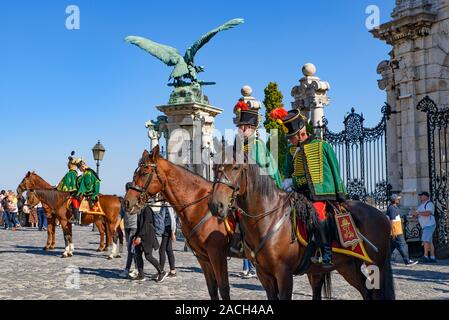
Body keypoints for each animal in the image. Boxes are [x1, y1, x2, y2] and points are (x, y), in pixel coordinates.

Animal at [123, 147, 233, 300]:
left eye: (144, 173)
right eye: (135, 174)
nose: (127, 202)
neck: (199, 204)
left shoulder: (217, 254)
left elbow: (224, 289)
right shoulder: (203, 257)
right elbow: (212, 289)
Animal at [208, 162, 394, 300]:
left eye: (236, 167)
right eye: (214, 168)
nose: (216, 205)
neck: (267, 218)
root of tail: (383, 217)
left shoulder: (284, 274)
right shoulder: (264, 275)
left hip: (374, 265)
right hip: (348, 266)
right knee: (366, 292)